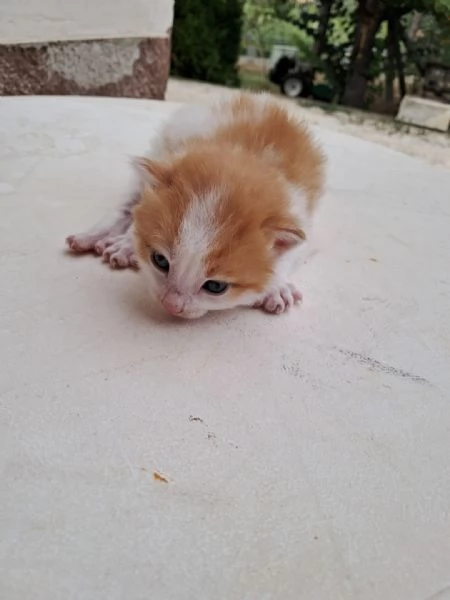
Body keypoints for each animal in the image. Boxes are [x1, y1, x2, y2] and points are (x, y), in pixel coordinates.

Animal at [67, 92, 324, 318]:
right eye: (160, 261)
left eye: (216, 287)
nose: (171, 305)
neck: (247, 156)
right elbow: (141, 214)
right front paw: (128, 242)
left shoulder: (303, 218)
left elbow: (292, 254)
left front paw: (278, 286)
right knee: (132, 203)